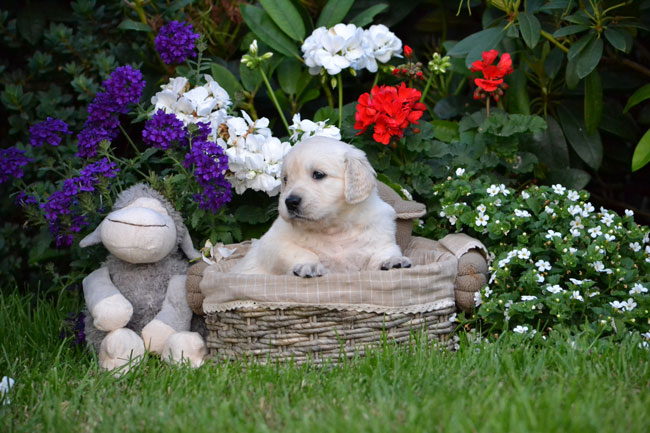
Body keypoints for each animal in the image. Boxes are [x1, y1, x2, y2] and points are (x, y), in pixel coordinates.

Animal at [229, 136, 410, 276]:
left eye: (318, 174)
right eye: (286, 179)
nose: (290, 202)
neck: (333, 229)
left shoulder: (381, 240)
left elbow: (385, 252)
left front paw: (393, 261)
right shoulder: (271, 244)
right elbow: (300, 251)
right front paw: (310, 265)